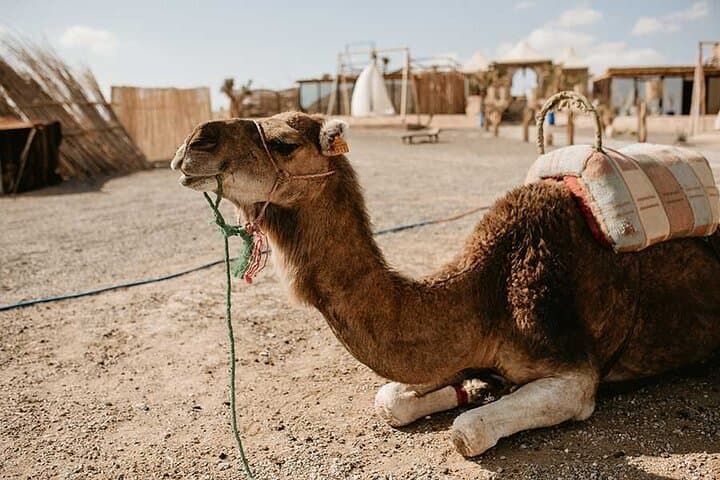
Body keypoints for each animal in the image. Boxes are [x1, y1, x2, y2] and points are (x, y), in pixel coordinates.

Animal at [171, 112, 720, 457]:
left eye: (284, 142)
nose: (192, 143)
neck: (487, 290)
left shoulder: (575, 375)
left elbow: (466, 433)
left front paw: (476, 401)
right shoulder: (459, 351)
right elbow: (390, 401)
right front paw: (472, 387)